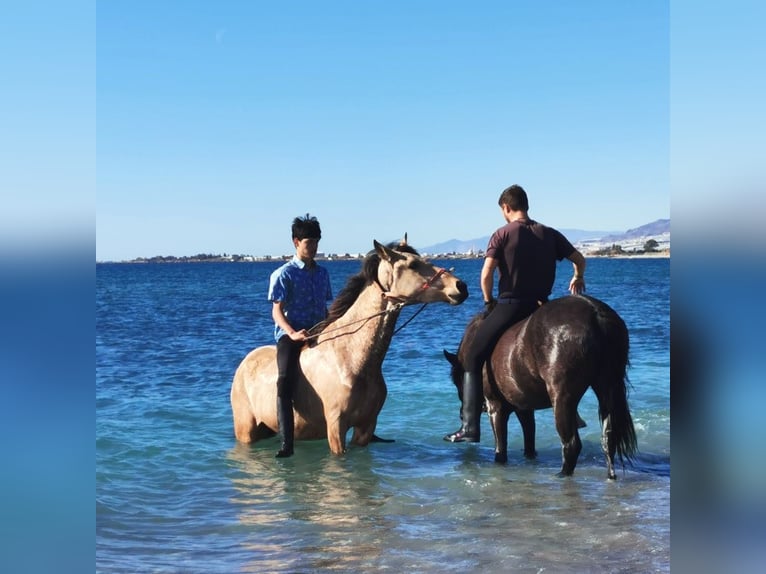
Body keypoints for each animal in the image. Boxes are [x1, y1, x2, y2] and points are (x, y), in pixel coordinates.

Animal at [230, 238, 468, 454]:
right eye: (413, 265)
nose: (461, 286)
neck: (351, 358)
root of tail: (244, 363)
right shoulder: (336, 427)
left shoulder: (366, 426)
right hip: (246, 430)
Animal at [448, 296, 640, 482]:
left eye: (456, 381)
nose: (461, 415)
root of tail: (595, 313)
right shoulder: (524, 409)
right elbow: (529, 443)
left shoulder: (496, 408)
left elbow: (501, 451)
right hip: (607, 389)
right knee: (608, 438)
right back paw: (610, 476)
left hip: (562, 398)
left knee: (571, 444)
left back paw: (562, 475)